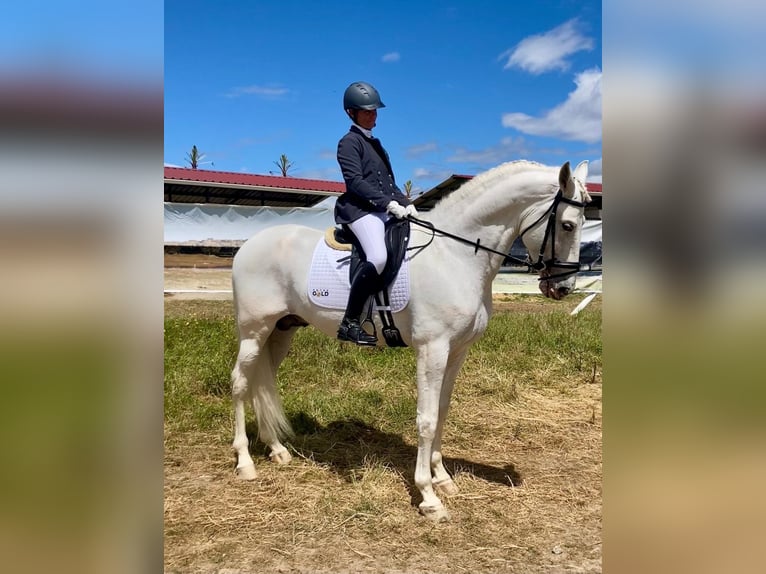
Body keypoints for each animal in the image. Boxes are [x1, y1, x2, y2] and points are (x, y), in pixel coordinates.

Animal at [231, 161, 592, 520]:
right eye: (568, 225)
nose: (563, 288)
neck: (455, 256)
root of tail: (249, 244)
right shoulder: (432, 349)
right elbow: (427, 419)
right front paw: (428, 496)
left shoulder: (457, 351)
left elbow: (442, 411)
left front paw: (443, 479)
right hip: (254, 331)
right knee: (241, 382)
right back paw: (245, 462)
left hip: (281, 331)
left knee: (263, 380)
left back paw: (276, 449)